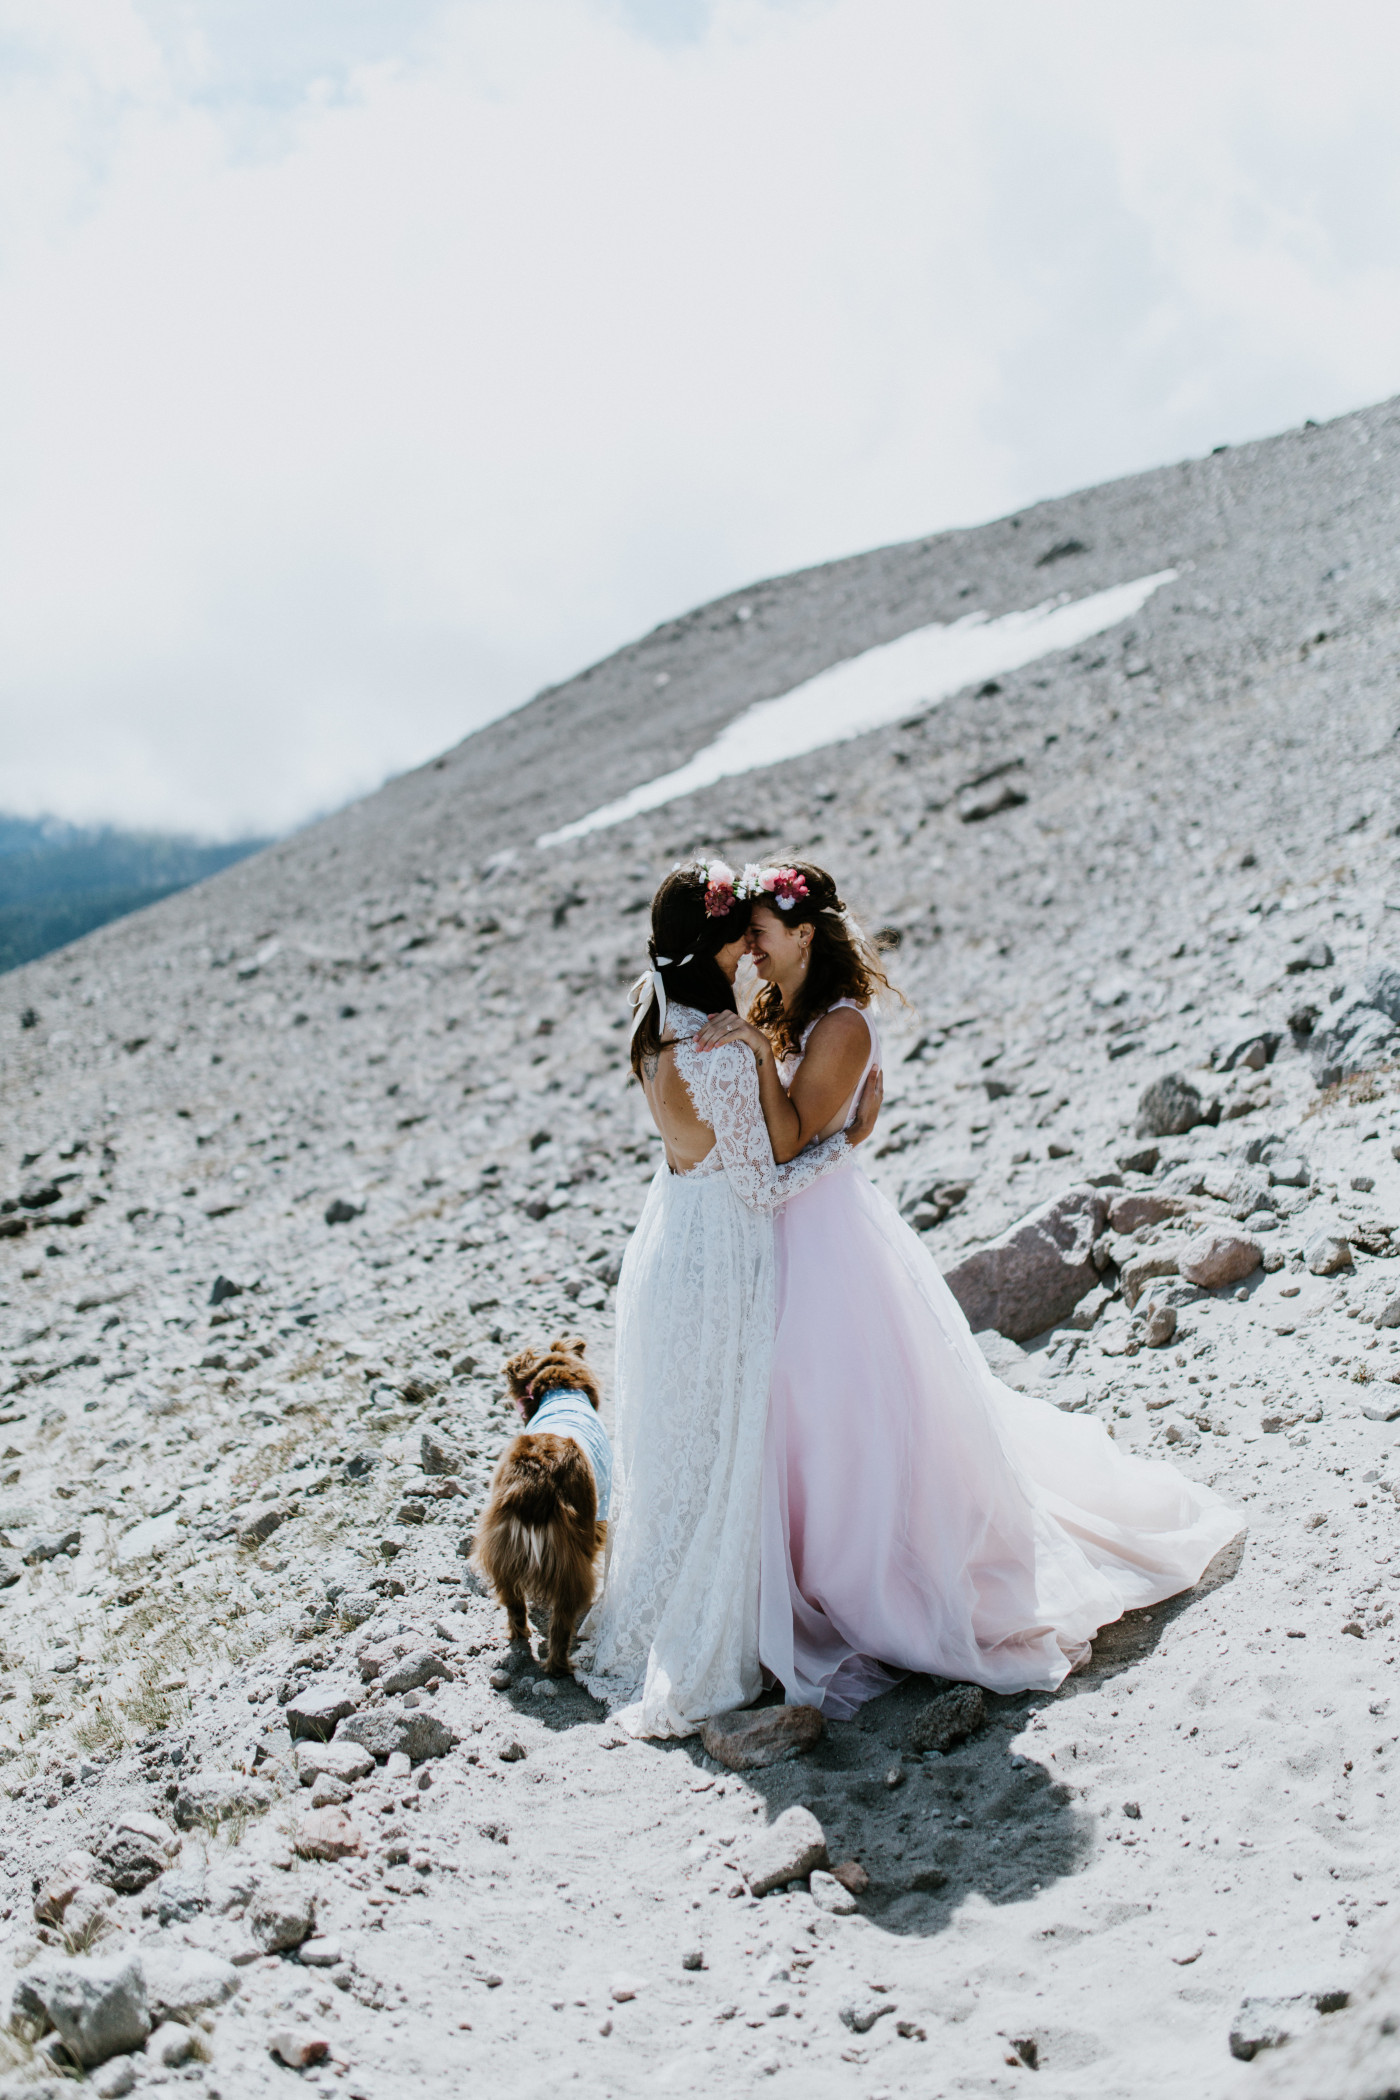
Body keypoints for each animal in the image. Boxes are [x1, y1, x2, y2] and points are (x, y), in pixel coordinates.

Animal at [474, 1344, 608, 1671]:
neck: (561, 1389)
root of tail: (533, 1481)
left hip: (501, 1550)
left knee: (513, 1602)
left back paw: (519, 1634)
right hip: (572, 1560)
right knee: (561, 1621)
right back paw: (559, 1666)